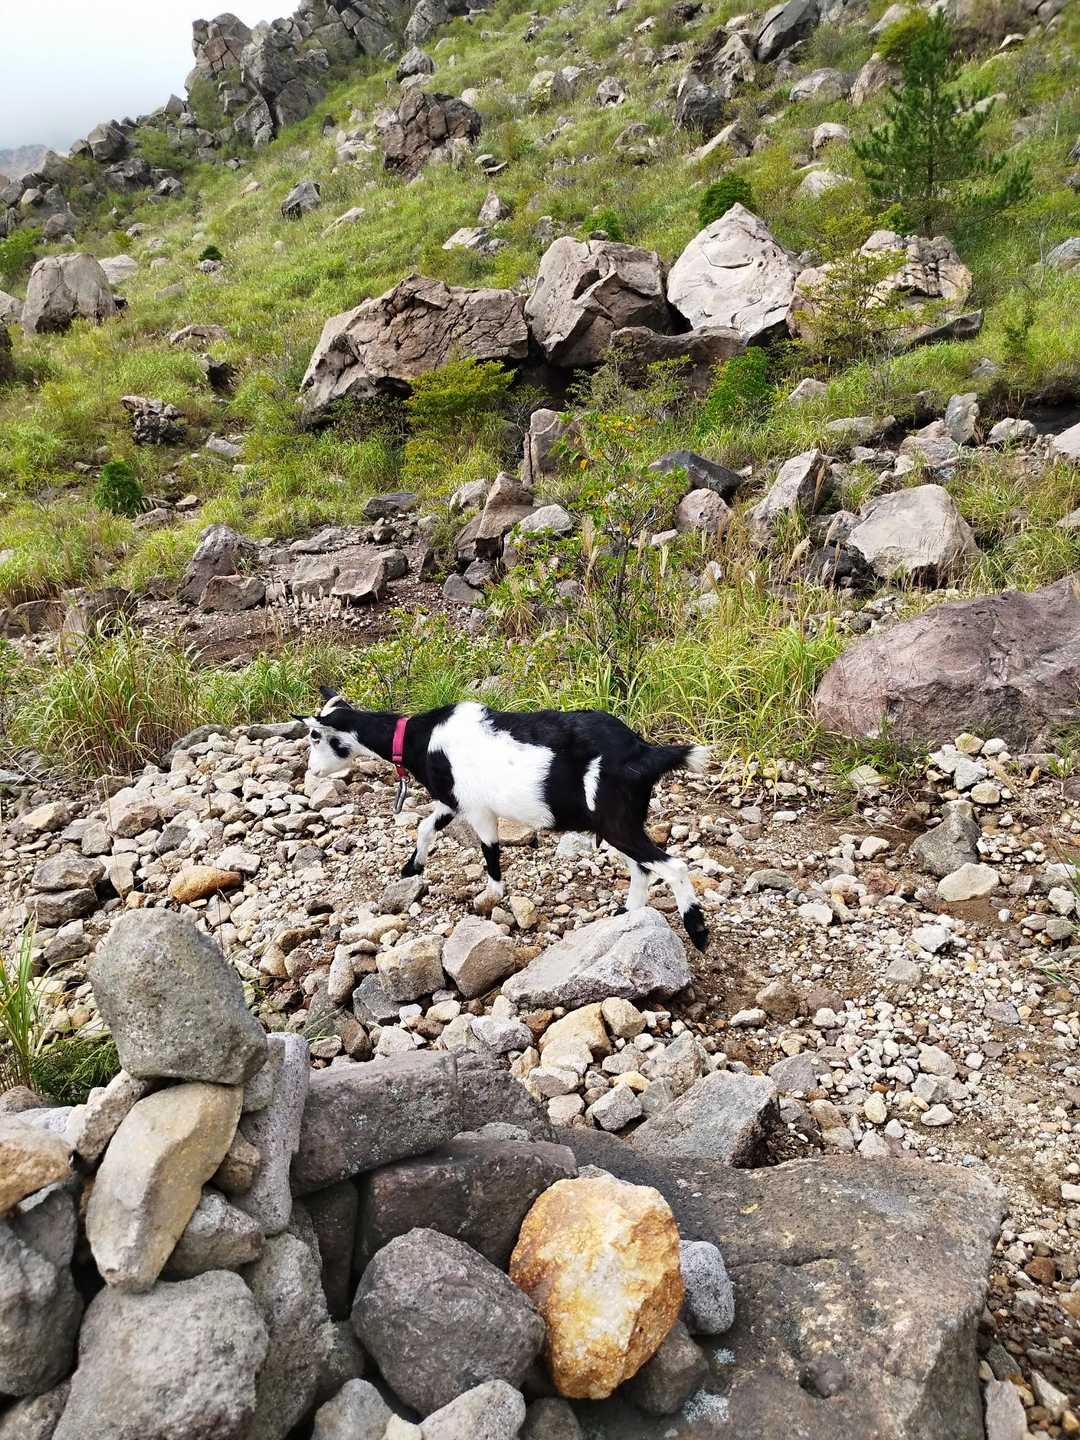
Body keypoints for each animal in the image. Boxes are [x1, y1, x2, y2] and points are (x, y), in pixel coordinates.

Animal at [295, 688, 711, 950]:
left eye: (315, 735)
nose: (311, 773)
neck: (418, 738)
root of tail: (644, 753)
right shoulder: (453, 801)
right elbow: (426, 826)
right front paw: (412, 868)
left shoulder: (478, 809)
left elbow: (490, 851)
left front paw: (491, 897)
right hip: (617, 822)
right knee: (642, 867)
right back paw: (627, 915)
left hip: (616, 821)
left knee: (672, 865)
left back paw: (697, 931)